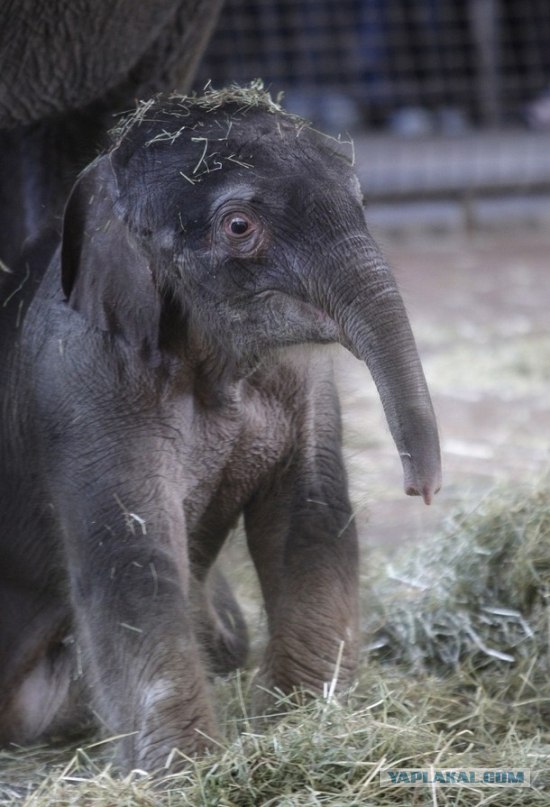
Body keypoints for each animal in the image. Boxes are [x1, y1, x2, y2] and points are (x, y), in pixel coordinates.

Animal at [0, 85, 441, 772]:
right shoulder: (80, 386)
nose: (422, 490)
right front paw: (187, 774)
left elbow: (308, 514)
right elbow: (132, 556)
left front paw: (303, 724)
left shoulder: (299, 375)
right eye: (239, 227)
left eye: (363, 201)